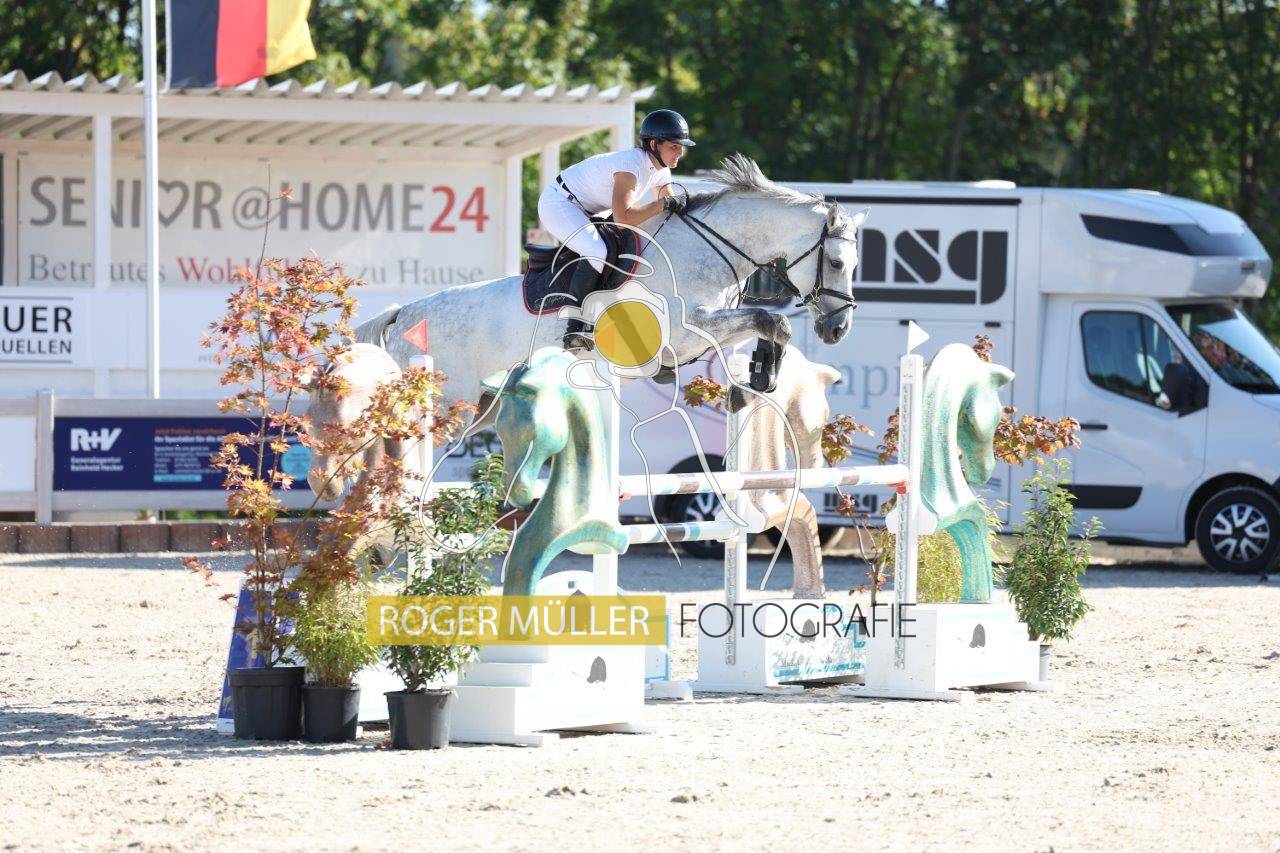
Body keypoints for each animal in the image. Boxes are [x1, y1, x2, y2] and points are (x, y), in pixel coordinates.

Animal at [354, 154, 868, 433]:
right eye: (837, 264)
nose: (839, 328)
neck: (706, 248)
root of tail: (404, 313)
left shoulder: (699, 335)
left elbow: (767, 325)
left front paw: (759, 377)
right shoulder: (684, 331)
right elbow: (771, 319)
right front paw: (761, 377)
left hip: (480, 406)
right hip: (445, 403)